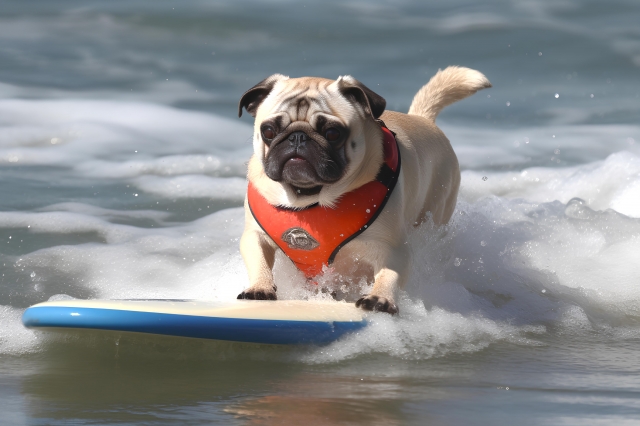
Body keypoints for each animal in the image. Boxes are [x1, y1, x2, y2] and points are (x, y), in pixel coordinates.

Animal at [235, 65, 490, 312]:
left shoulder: (391, 248)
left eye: (333, 133)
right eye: (268, 131)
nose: (298, 137)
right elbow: (259, 260)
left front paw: (380, 298)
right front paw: (259, 288)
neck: (309, 198)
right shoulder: (255, 236)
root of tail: (422, 118)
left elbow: (389, 275)